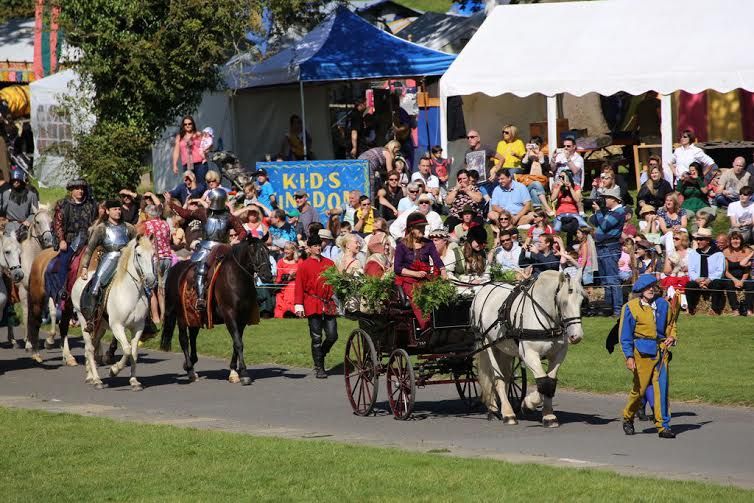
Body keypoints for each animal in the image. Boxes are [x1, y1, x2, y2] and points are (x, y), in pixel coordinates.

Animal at [70, 234, 156, 392]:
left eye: (153, 254)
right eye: (139, 254)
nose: (151, 280)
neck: (130, 293)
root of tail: (81, 279)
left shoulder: (138, 327)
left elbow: (134, 352)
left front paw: (134, 381)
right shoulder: (117, 326)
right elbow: (127, 349)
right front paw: (114, 370)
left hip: (100, 327)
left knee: (93, 346)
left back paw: (90, 376)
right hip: (83, 320)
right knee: (89, 348)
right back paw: (97, 380)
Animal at [160, 236, 272, 386]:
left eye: (268, 251)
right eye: (255, 252)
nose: (268, 275)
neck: (236, 278)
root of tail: (174, 269)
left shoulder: (241, 319)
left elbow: (236, 343)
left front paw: (233, 372)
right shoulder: (230, 316)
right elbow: (238, 343)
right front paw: (243, 373)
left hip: (195, 315)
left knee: (193, 336)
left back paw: (191, 364)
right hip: (181, 315)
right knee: (183, 339)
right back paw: (190, 370)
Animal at [470, 272, 588, 430]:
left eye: (582, 301)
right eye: (564, 302)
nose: (576, 336)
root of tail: (483, 289)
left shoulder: (557, 355)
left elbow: (549, 383)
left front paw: (548, 415)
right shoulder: (529, 354)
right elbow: (543, 382)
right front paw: (528, 404)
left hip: (504, 350)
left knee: (505, 377)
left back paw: (497, 409)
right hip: (488, 345)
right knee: (497, 378)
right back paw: (506, 413)